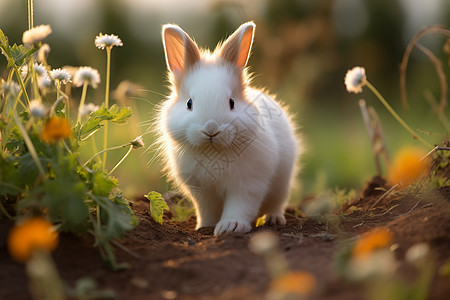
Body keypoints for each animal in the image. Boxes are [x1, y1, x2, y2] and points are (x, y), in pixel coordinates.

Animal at [156, 22, 300, 236]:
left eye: (232, 102)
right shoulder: (202, 192)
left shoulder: (247, 184)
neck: (213, 151)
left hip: (282, 183)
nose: (211, 129)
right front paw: (204, 227)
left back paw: (274, 219)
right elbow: (206, 210)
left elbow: (239, 206)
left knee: (277, 203)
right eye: (189, 103)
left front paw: (231, 227)